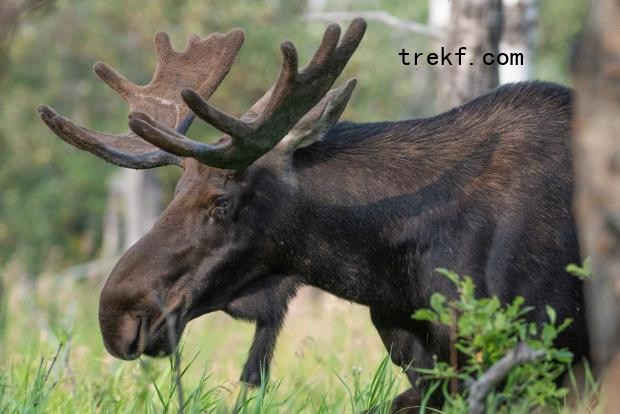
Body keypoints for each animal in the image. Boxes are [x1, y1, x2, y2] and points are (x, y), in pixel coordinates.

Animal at [36, 17, 588, 412]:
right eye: (176, 191)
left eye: (222, 201)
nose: (116, 314)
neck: (389, 273)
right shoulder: (426, 363)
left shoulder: (534, 351)